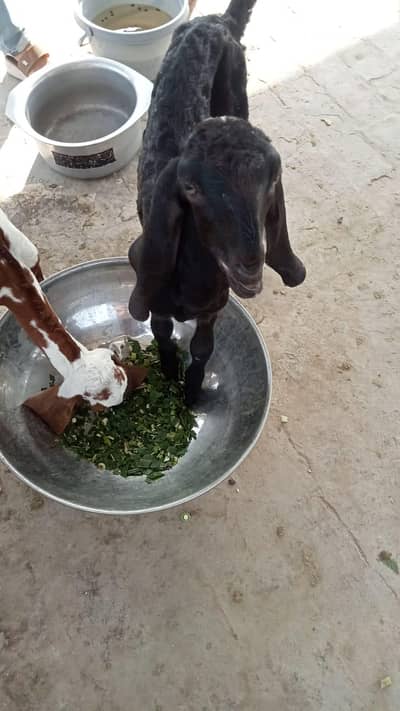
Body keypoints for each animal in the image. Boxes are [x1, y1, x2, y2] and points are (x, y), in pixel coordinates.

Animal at [129, 0, 306, 405]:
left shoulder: (215, 306)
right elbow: (162, 334)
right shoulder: (155, 296)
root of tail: (217, 20)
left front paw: (191, 393)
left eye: (273, 178)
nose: (250, 261)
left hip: (237, 89)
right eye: (190, 187)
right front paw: (169, 373)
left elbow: (202, 349)